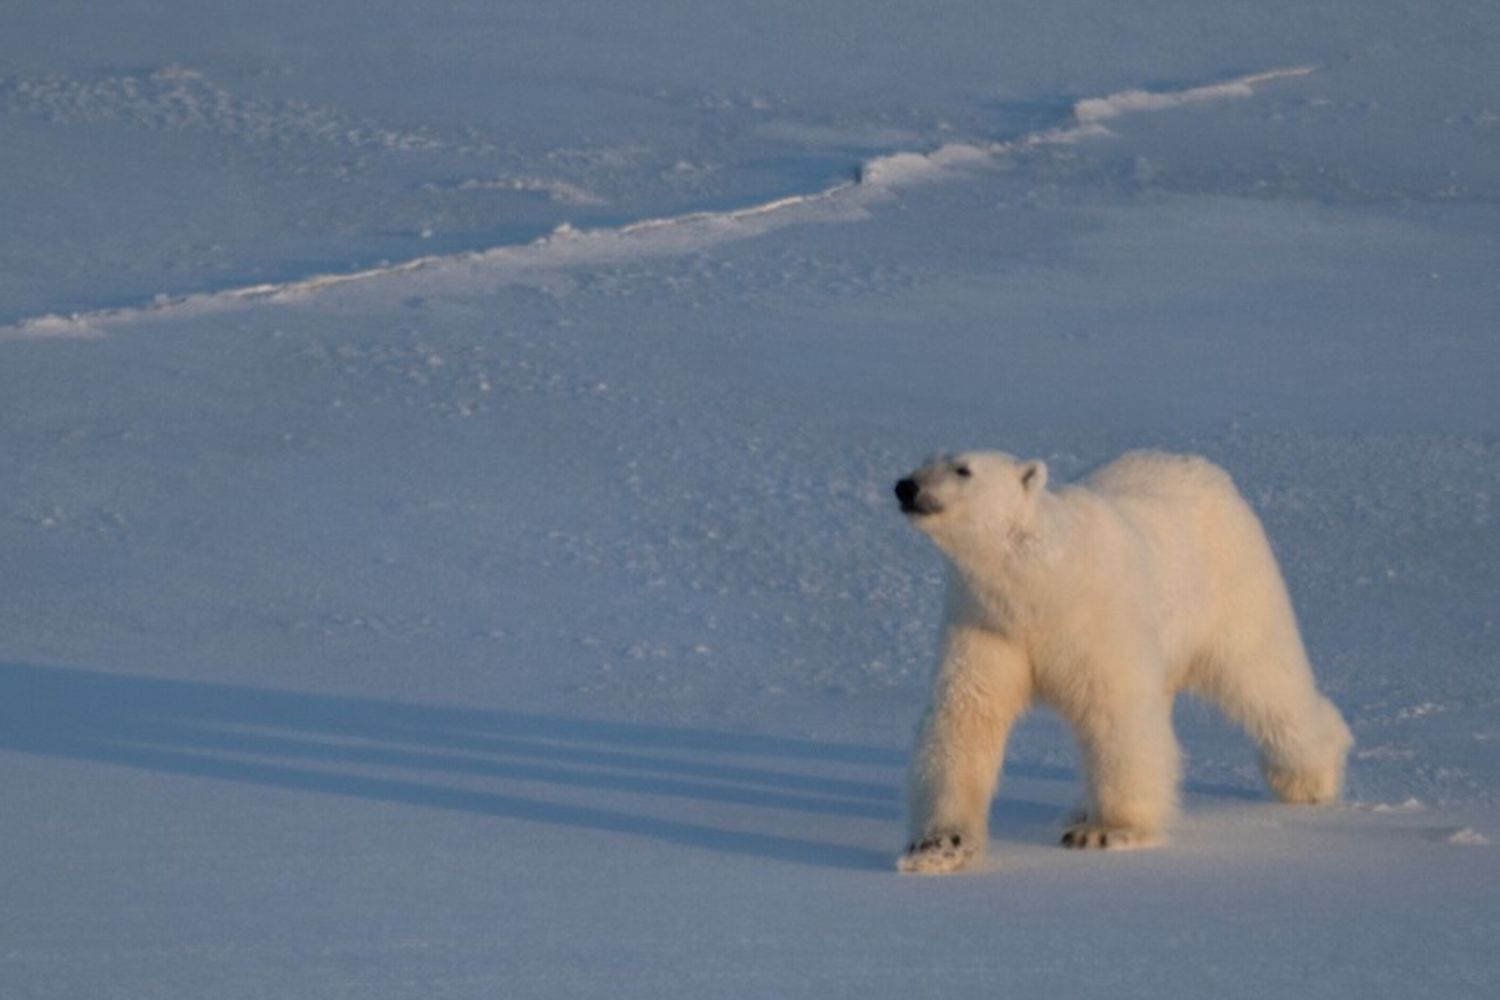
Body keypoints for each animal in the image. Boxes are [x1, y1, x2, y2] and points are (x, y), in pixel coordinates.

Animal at [892, 450, 1352, 874]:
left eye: (963, 469)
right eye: (925, 460)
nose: (906, 487)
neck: (1039, 586)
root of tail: (1202, 466)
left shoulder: (1096, 614)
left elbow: (1115, 713)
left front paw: (1105, 831)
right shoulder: (988, 624)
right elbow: (967, 714)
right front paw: (938, 846)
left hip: (1232, 584)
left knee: (1265, 677)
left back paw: (1311, 778)